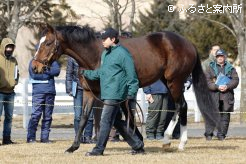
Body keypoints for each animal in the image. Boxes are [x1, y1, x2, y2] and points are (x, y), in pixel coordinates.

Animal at [31, 24, 220, 152]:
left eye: (48, 43)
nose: (35, 67)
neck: (95, 55)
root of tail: (187, 43)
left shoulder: (110, 95)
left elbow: (115, 118)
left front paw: (137, 142)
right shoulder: (90, 93)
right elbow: (85, 117)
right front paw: (73, 146)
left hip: (175, 81)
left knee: (181, 106)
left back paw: (173, 141)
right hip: (168, 82)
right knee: (180, 107)